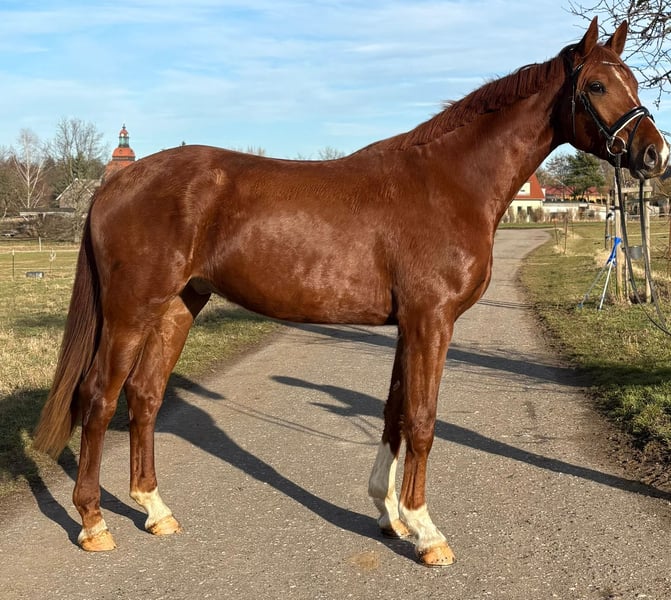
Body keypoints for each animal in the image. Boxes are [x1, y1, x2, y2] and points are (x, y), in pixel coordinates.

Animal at [34, 18, 668, 566]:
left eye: (636, 80)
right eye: (596, 85)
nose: (654, 154)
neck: (448, 182)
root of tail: (117, 182)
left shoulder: (409, 324)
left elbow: (393, 413)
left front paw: (390, 514)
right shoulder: (432, 320)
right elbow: (422, 419)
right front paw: (427, 531)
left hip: (178, 306)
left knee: (144, 396)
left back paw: (155, 510)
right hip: (131, 309)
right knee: (98, 398)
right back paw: (94, 522)